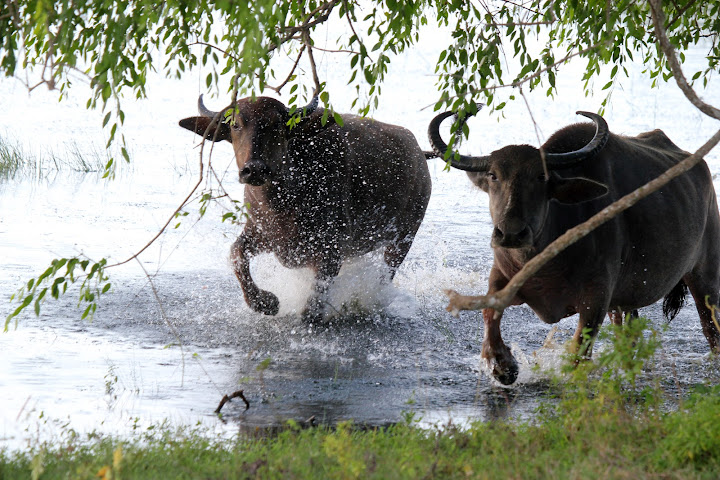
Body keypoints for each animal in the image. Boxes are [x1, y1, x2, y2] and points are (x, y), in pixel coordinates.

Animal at [180, 96, 430, 322]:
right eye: (235, 125)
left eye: (277, 124)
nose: (255, 169)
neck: (283, 203)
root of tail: (418, 153)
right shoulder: (262, 233)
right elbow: (236, 253)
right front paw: (265, 302)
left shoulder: (331, 250)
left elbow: (311, 309)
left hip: (404, 238)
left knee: (385, 274)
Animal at [428, 110, 720, 384]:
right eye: (493, 175)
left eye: (541, 177)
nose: (511, 232)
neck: (544, 261)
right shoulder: (502, 277)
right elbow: (489, 311)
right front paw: (503, 366)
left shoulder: (595, 299)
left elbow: (579, 351)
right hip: (624, 300)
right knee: (628, 330)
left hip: (703, 276)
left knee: (710, 327)